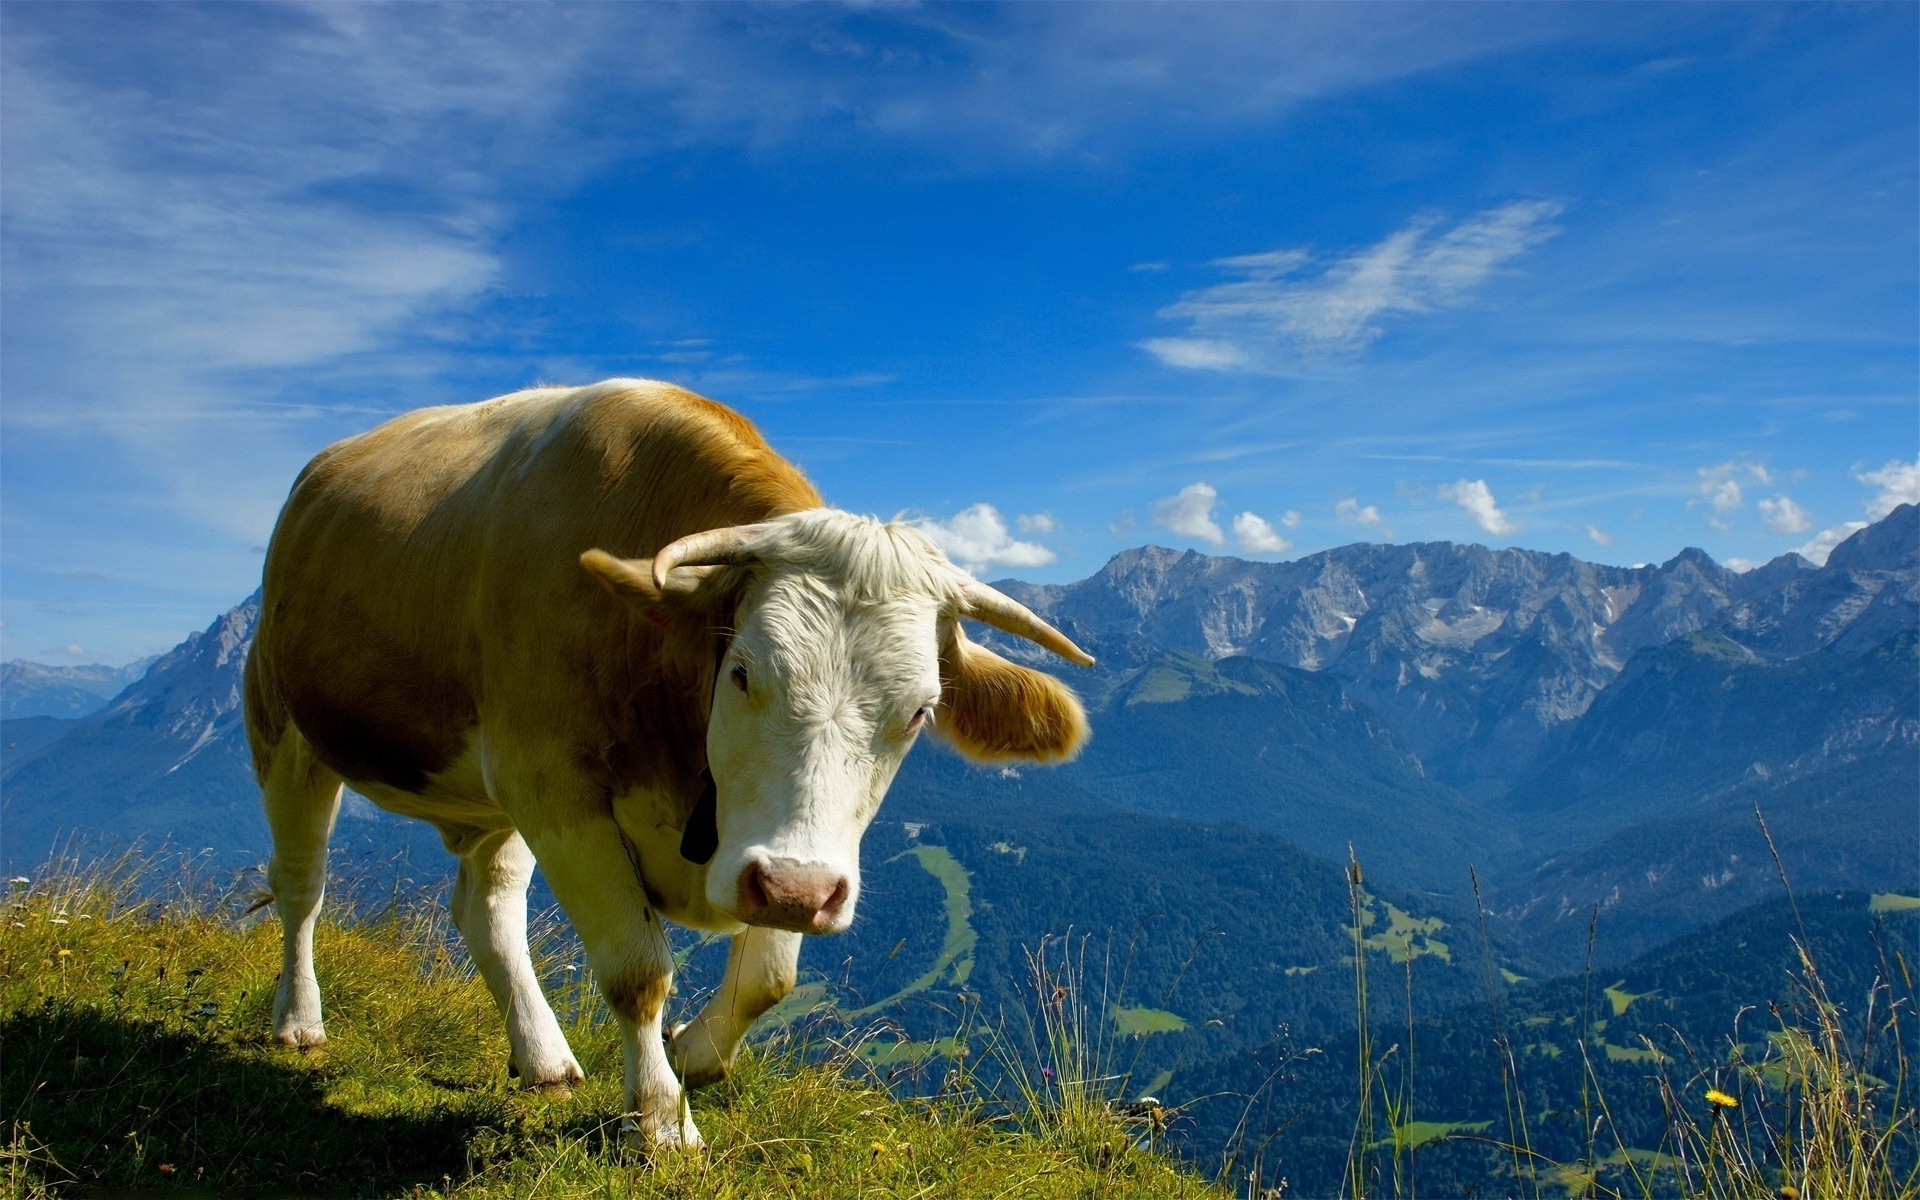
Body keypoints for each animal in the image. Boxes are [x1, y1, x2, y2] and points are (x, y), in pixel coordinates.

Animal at [243, 378, 1098, 1144]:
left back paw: (542, 1057)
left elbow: (769, 978)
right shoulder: (555, 789)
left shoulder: (769, 846)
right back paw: (299, 1020)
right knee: (301, 886)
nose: (798, 891)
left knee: (487, 906)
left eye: (919, 711)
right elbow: (637, 971)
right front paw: (659, 1120)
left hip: (490, 800)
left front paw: (690, 1055)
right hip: (282, 724)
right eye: (743, 671)